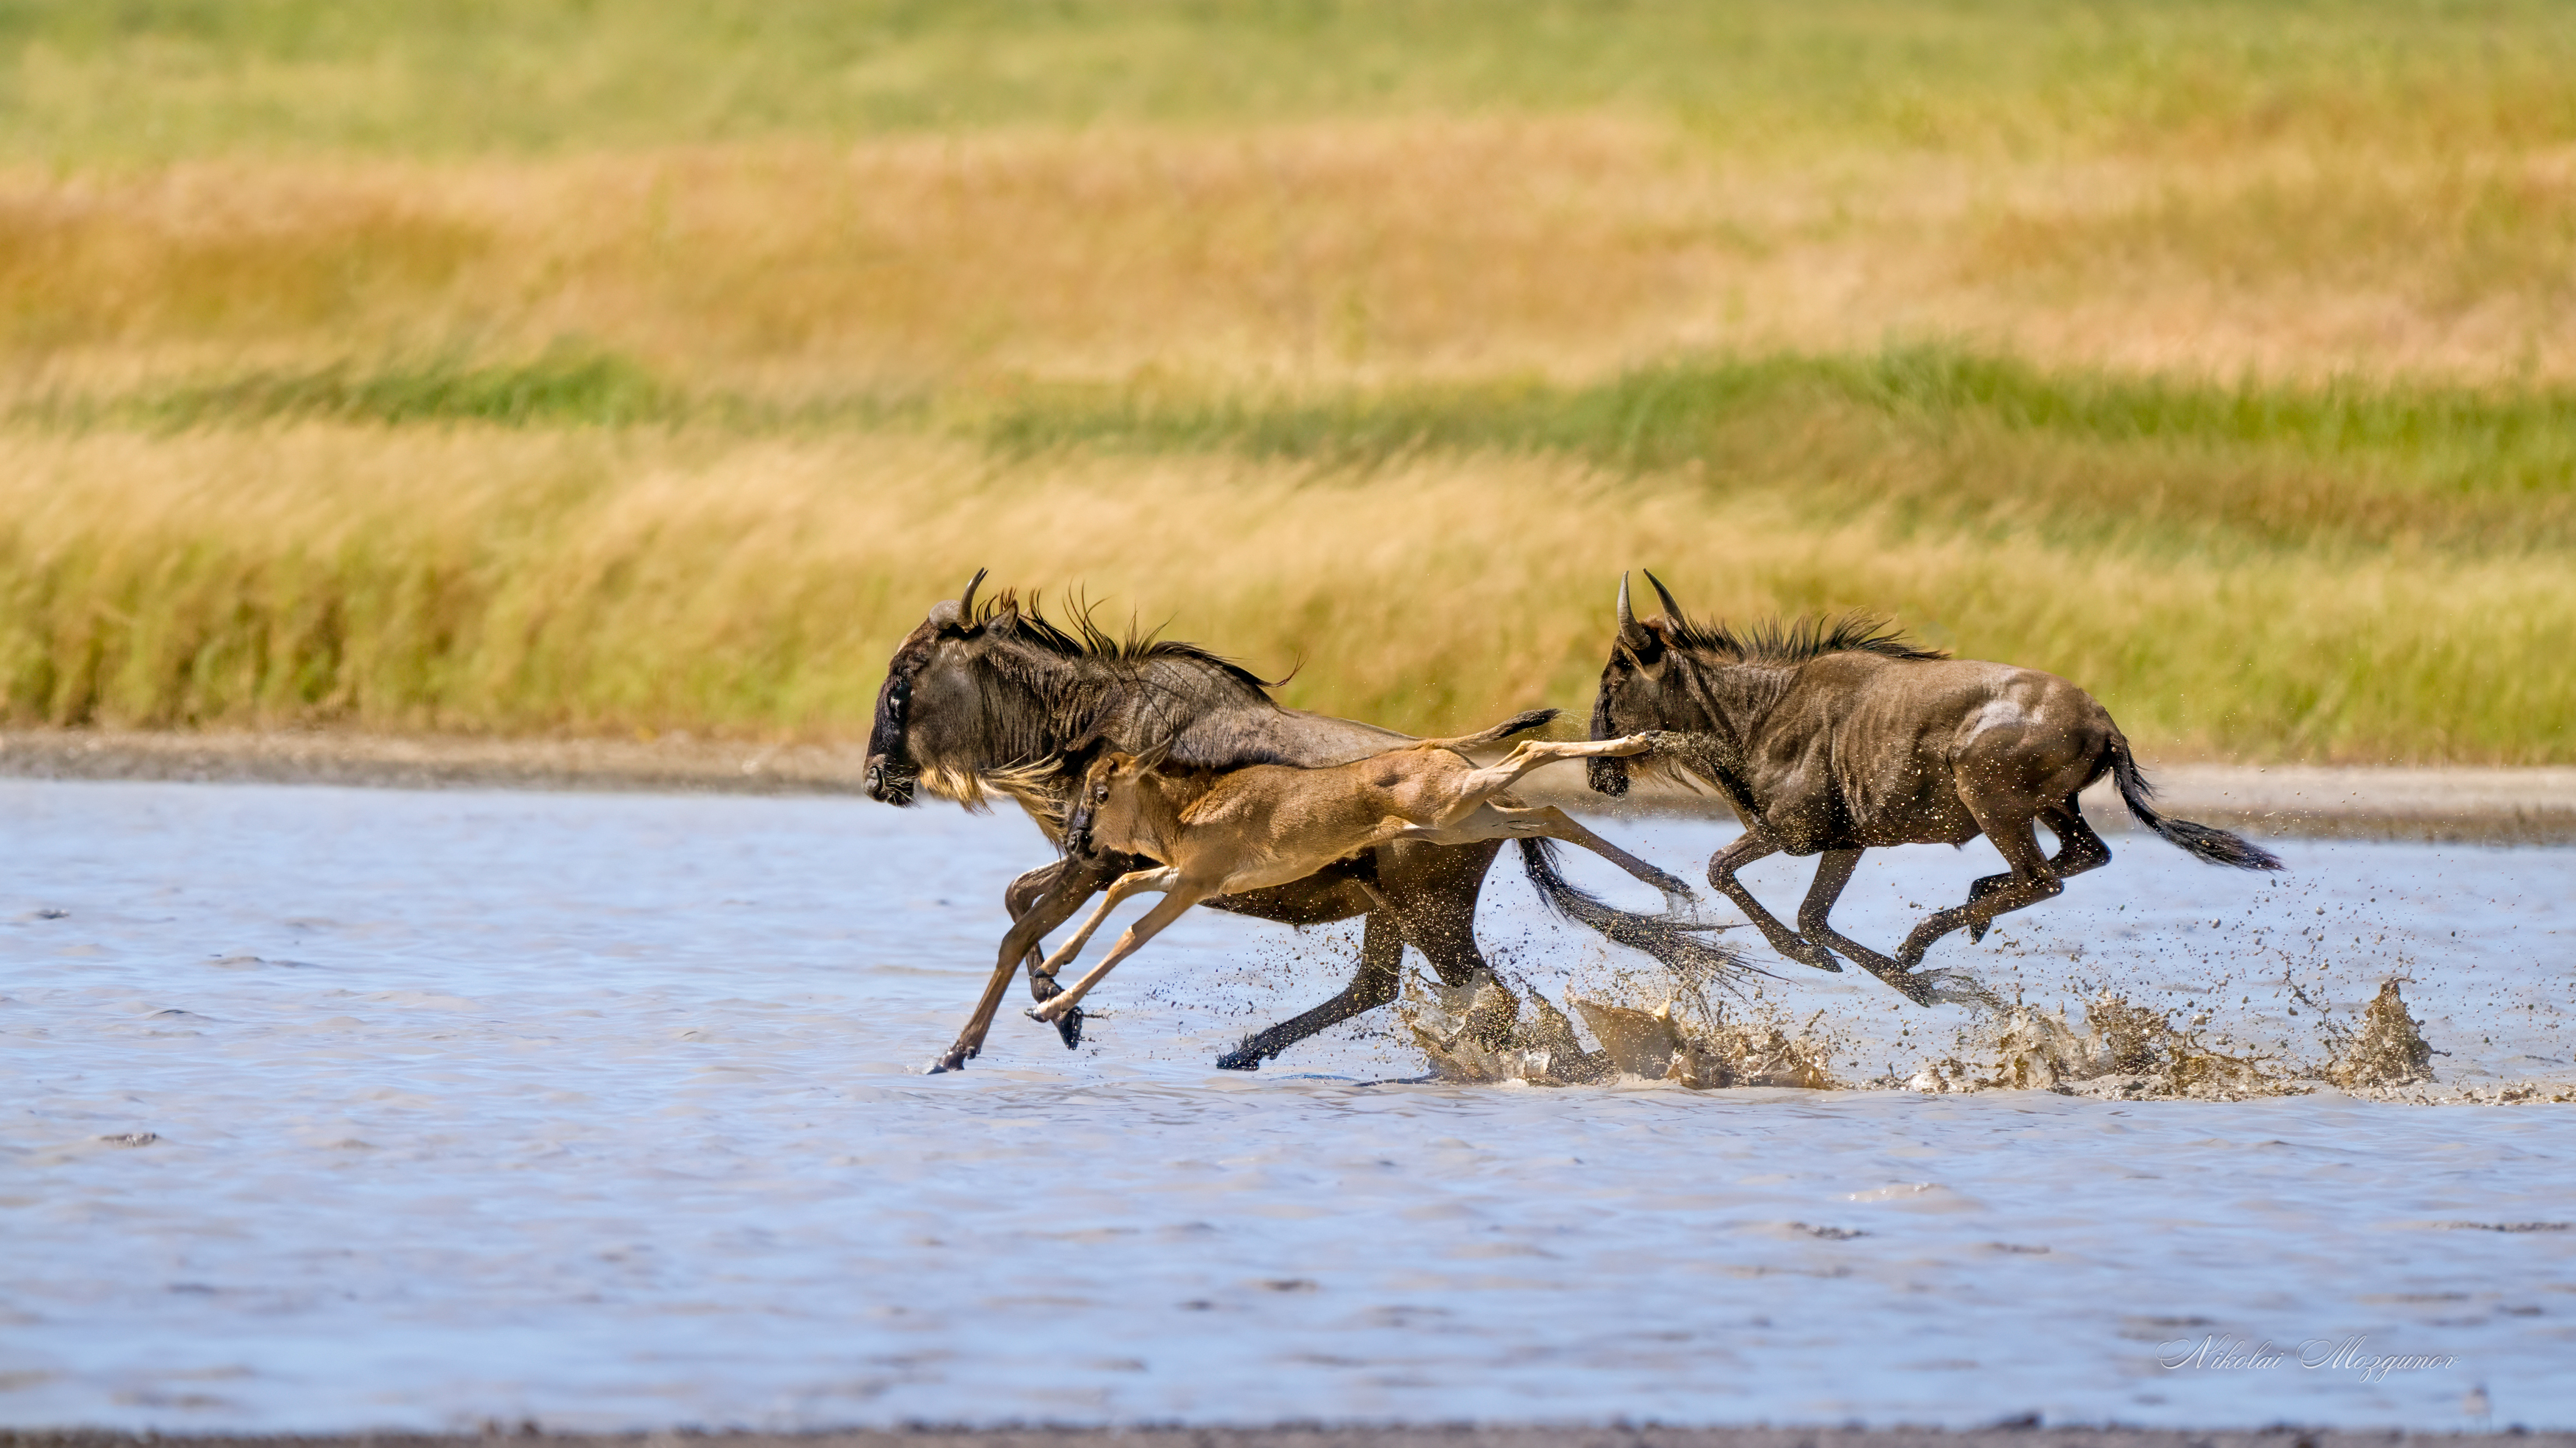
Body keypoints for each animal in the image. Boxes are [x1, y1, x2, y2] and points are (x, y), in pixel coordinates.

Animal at [1025, 711, 1710, 1025]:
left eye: (1102, 792)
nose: (1078, 837)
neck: (1190, 812)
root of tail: (1433, 747)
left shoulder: (1193, 885)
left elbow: (1132, 933)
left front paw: (1050, 1007)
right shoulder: (1177, 876)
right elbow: (1120, 886)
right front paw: (1053, 968)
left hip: (1457, 809)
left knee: (1529, 749)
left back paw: (1639, 747)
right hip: (1468, 820)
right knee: (1549, 811)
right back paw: (1674, 888)